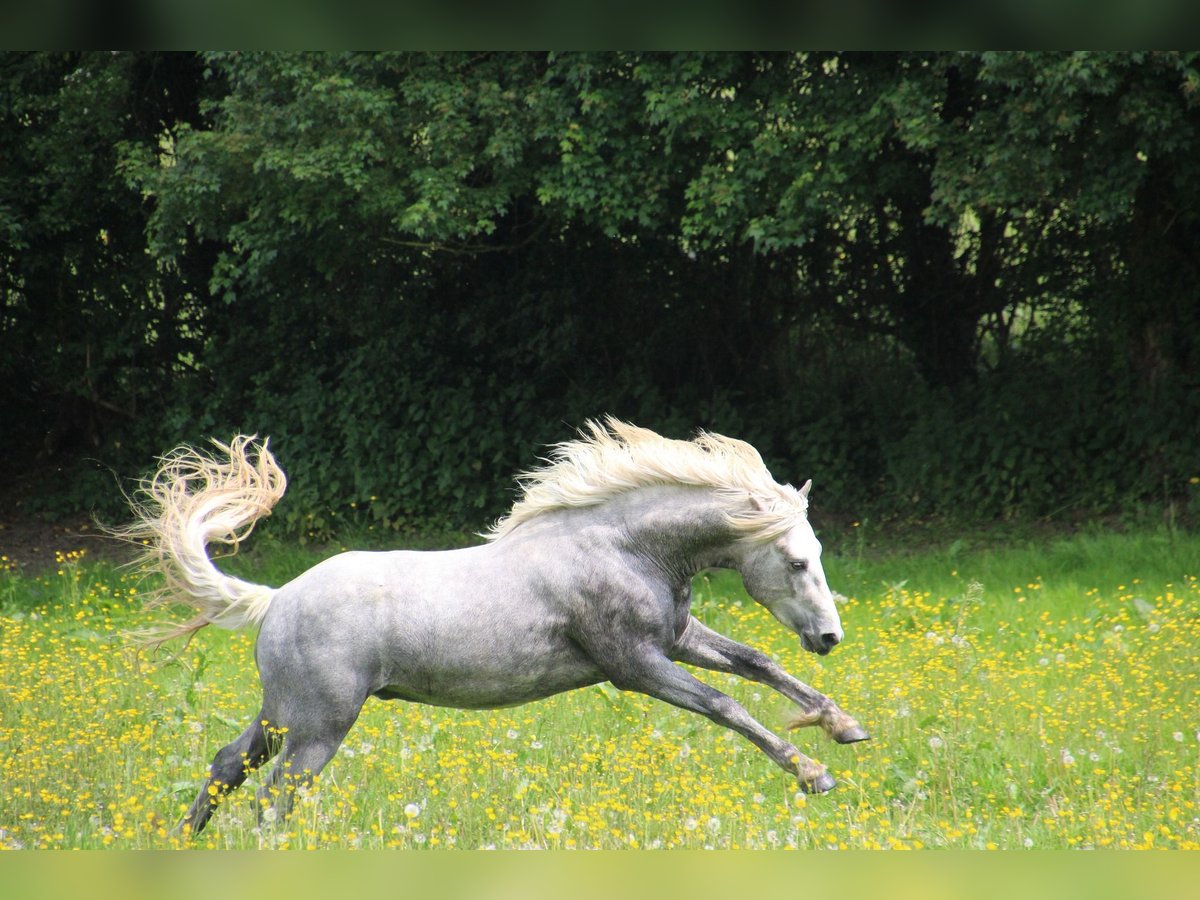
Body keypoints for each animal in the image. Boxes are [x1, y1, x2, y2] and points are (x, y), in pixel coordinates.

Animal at [120, 418, 868, 835]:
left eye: (818, 554)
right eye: (797, 561)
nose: (830, 638)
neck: (625, 547)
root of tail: (274, 599)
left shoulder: (676, 641)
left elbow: (759, 664)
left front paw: (844, 726)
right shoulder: (635, 666)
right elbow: (726, 704)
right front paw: (813, 774)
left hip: (283, 714)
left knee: (227, 766)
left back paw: (181, 843)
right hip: (318, 726)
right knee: (276, 799)